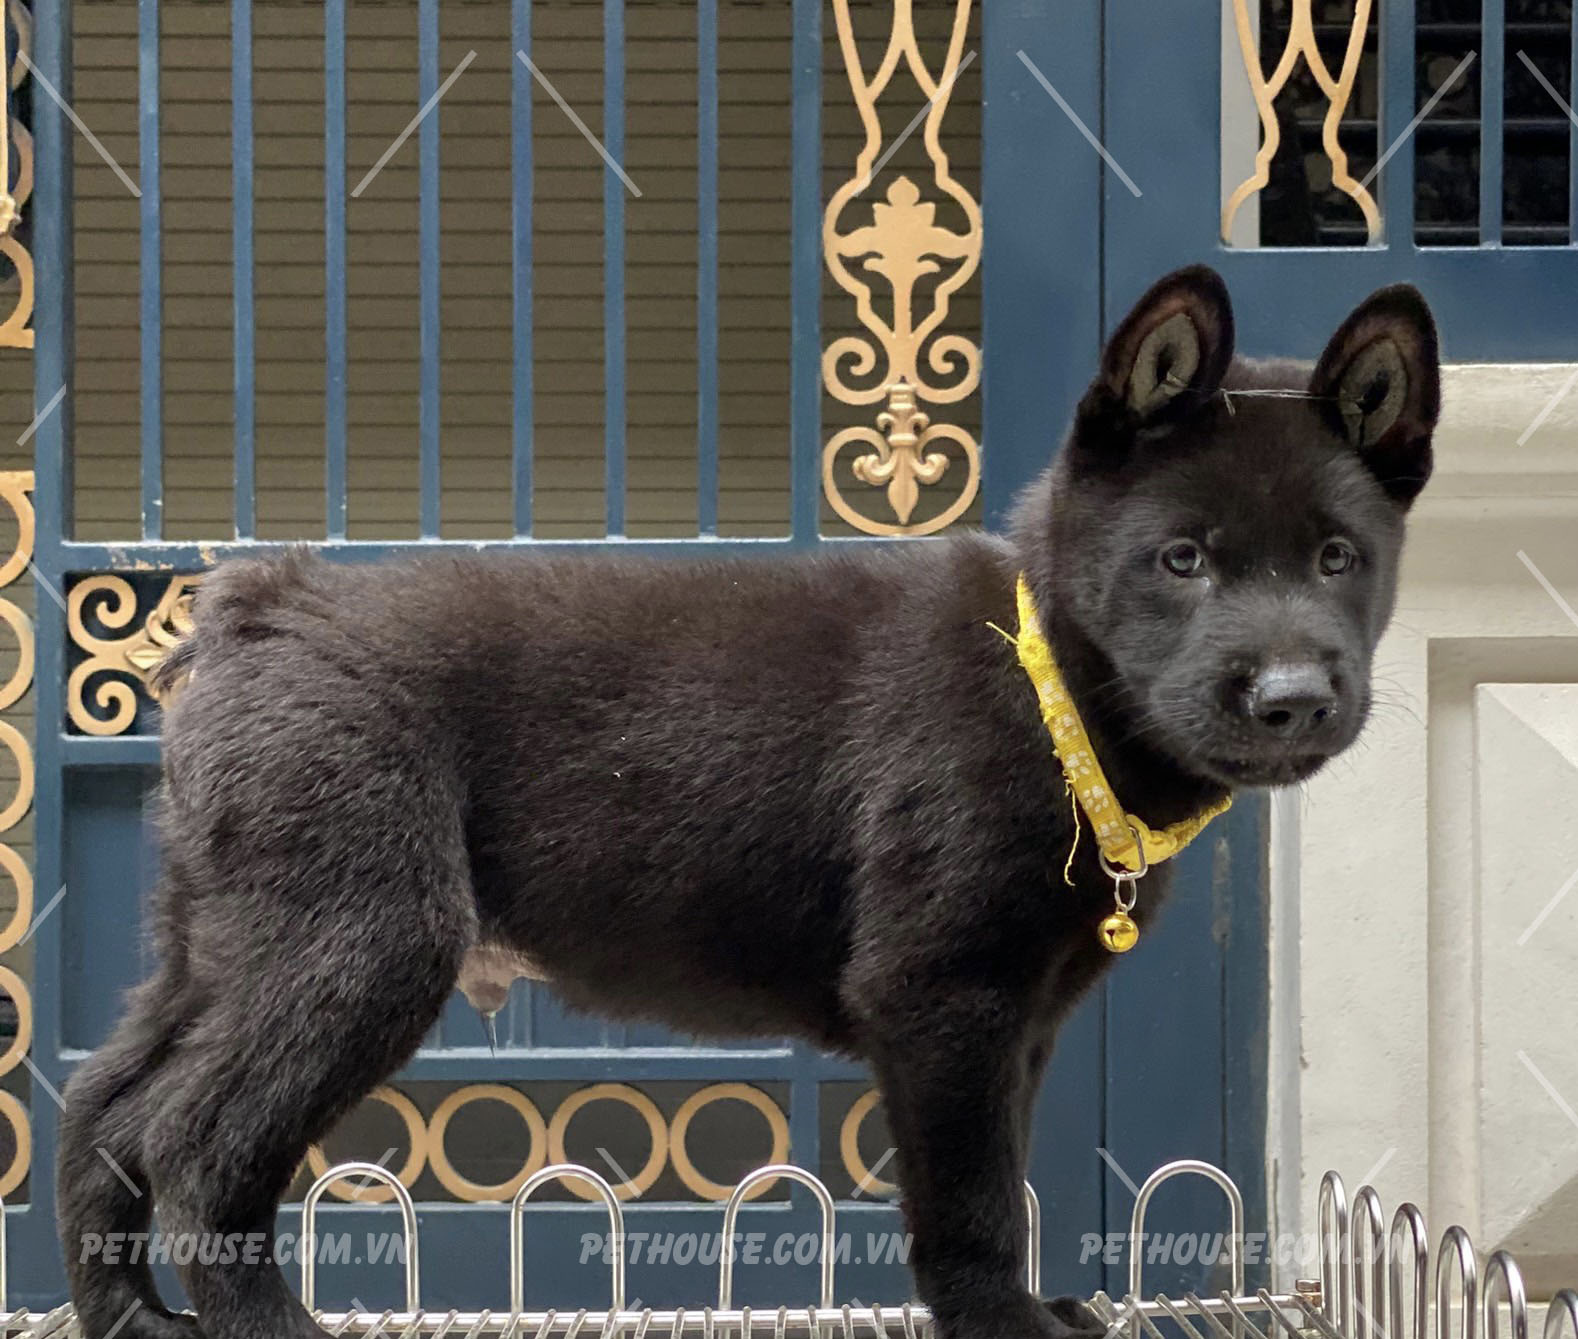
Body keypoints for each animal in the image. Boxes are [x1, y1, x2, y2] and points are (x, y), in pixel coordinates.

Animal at [58, 265, 1439, 1339]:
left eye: (1339, 558)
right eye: (1183, 559)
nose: (1295, 697)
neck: (1050, 681)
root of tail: (262, 605)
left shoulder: (1019, 1021)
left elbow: (1006, 1170)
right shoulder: (944, 1001)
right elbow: (976, 1202)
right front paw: (1005, 1318)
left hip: (230, 944)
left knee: (106, 1106)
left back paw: (124, 1308)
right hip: (357, 938)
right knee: (199, 1142)